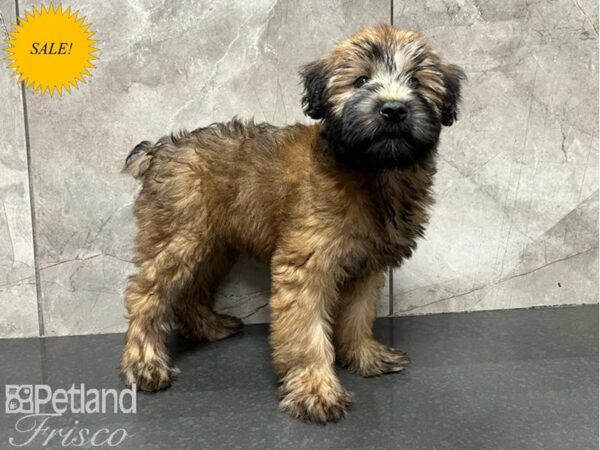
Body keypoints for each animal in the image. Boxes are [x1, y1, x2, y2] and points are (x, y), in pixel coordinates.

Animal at [120, 26, 464, 424]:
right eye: (361, 81)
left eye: (416, 81)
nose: (393, 108)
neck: (373, 173)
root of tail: (159, 150)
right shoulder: (306, 266)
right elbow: (306, 333)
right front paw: (315, 390)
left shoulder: (367, 266)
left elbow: (358, 316)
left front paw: (364, 355)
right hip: (180, 237)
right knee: (147, 295)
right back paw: (144, 364)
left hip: (214, 245)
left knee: (192, 289)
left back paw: (208, 328)